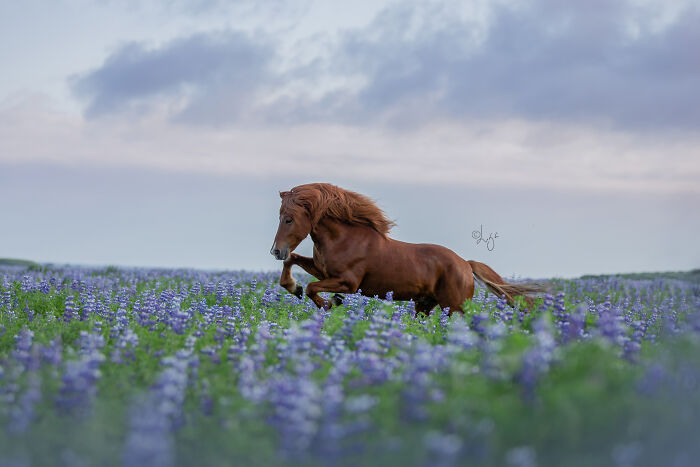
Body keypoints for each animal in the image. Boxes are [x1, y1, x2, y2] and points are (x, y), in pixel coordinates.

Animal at [270, 183, 547, 315]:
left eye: (289, 219)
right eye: (280, 215)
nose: (276, 251)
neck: (345, 238)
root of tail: (465, 265)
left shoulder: (348, 282)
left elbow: (312, 287)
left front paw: (331, 303)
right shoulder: (323, 271)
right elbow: (293, 262)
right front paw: (294, 287)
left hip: (454, 307)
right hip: (424, 305)